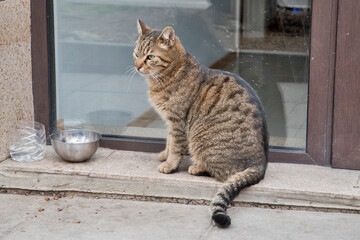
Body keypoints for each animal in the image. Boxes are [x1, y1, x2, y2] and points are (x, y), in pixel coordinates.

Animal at [133, 20, 268, 227]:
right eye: (136, 54)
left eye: (150, 57)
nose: (137, 66)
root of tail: (260, 163)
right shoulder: (170, 121)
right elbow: (169, 141)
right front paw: (164, 155)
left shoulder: (178, 121)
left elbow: (176, 146)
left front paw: (170, 164)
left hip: (200, 139)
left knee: (224, 173)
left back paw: (197, 167)